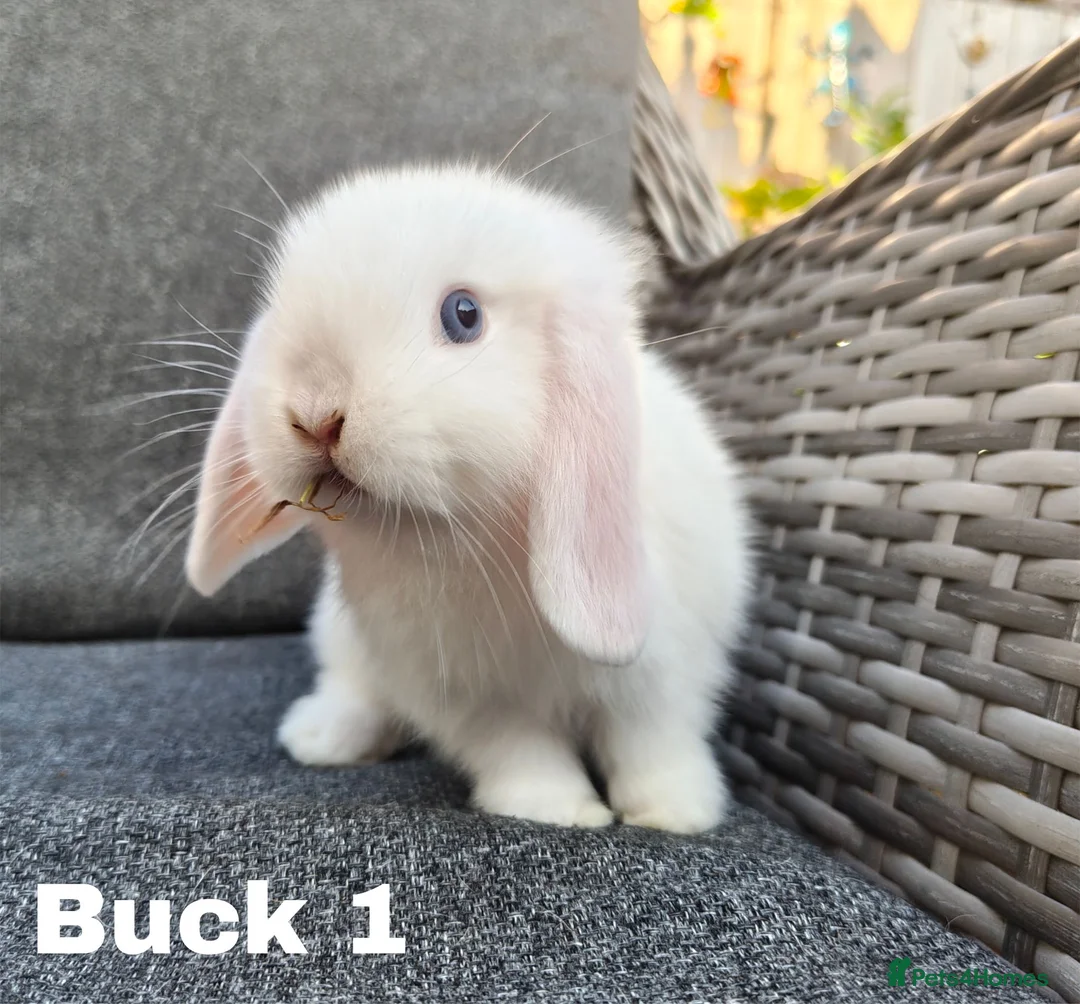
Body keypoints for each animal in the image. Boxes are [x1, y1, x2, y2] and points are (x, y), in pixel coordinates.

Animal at [184, 164, 754, 834]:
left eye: (464, 315)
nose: (315, 414)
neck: (476, 537)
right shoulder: (465, 696)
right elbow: (519, 750)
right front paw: (558, 810)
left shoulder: (666, 675)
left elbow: (652, 742)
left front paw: (674, 814)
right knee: (357, 693)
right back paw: (320, 737)